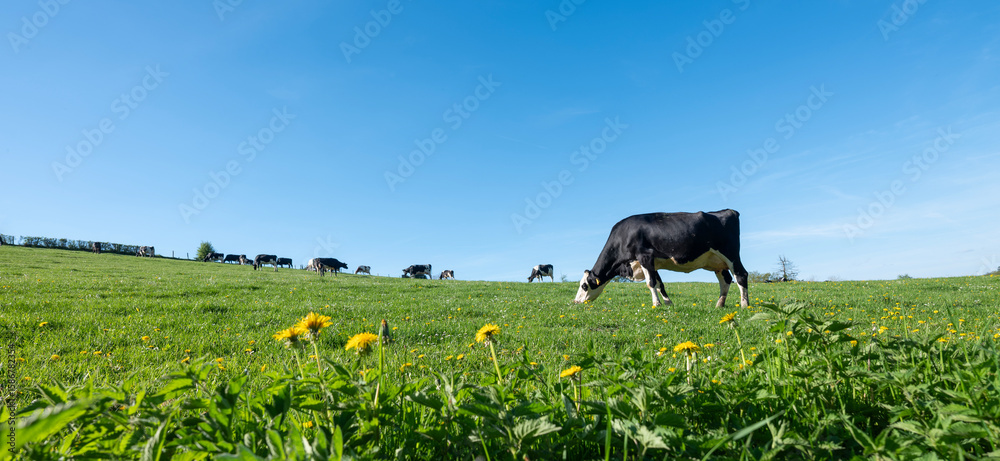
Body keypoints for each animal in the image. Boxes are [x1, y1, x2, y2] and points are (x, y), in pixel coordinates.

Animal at [573, 210, 749, 308]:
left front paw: (656, 304)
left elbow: (650, 283)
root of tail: (729, 211)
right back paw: (719, 305)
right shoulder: (652, 264)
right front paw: (668, 303)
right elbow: (659, 284)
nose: (575, 302)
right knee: (726, 280)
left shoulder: (645, 256)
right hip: (717, 262)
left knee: (741, 275)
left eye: (583, 286)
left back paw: (744, 305)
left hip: (731, 254)